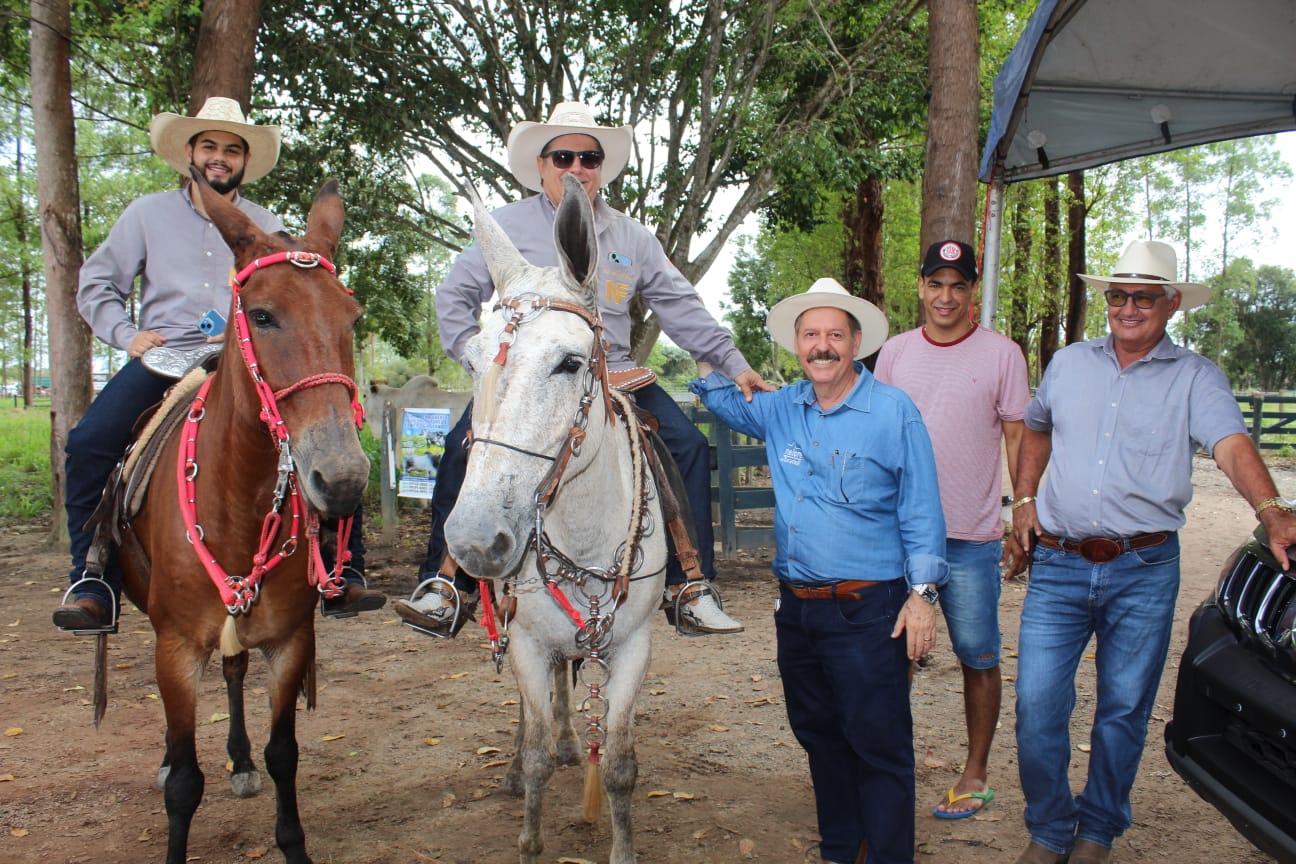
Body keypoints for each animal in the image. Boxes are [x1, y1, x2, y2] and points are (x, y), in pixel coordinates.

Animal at [443, 173, 671, 864]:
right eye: (472, 361)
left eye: (570, 362)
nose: (476, 540)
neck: (585, 537)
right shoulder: (525, 639)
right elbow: (539, 750)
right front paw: (529, 826)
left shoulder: (633, 647)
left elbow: (619, 764)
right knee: (534, 711)